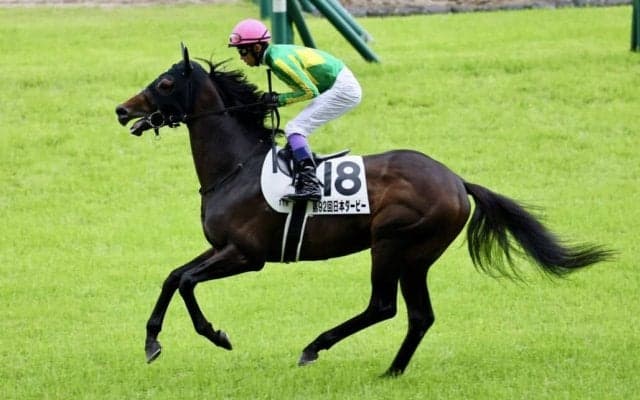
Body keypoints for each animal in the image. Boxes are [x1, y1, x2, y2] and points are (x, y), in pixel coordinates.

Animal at [115, 45, 613, 376]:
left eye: (165, 83)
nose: (122, 110)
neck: (236, 167)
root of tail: (456, 181)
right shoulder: (221, 247)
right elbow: (173, 277)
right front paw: (153, 341)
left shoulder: (246, 255)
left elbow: (187, 283)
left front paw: (215, 335)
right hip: (416, 258)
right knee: (418, 315)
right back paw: (392, 371)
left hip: (392, 243)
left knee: (383, 306)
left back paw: (315, 347)